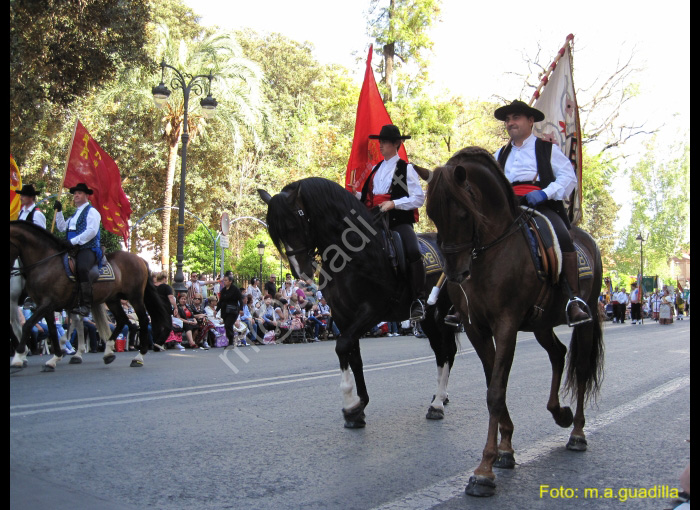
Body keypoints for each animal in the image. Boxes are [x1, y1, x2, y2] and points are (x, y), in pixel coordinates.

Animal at [10, 221, 171, 372]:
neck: (46, 262)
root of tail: (140, 259)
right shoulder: (44, 305)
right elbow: (51, 329)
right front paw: (53, 359)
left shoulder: (48, 303)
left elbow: (27, 325)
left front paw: (18, 357)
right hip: (112, 299)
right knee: (121, 320)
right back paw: (107, 352)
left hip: (135, 297)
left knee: (143, 320)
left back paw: (138, 357)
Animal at [260, 177, 456, 428]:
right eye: (277, 234)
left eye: (294, 224)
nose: (299, 271)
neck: (352, 255)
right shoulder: (343, 316)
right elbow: (354, 356)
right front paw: (358, 407)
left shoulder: (372, 310)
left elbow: (343, 346)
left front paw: (351, 404)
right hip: (430, 316)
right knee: (442, 351)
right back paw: (439, 398)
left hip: (441, 312)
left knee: (446, 351)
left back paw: (438, 402)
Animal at [424, 147, 604, 498]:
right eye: (432, 215)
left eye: (463, 214)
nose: (455, 274)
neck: (491, 251)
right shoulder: (476, 328)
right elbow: (494, 384)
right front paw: (505, 449)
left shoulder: (506, 324)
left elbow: (495, 391)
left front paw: (484, 470)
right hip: (541, 323)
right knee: (558, 354)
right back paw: (559, 413)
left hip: (586, 318)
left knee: (580, 369)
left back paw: (576, 432)